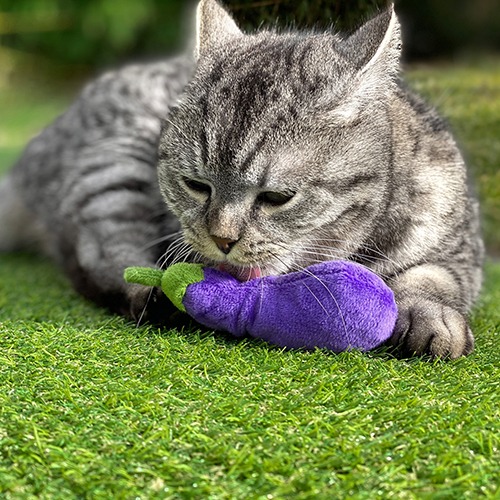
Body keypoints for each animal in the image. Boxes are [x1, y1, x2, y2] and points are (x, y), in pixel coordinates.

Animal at [0, 0, 484, 360]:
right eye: (196, 185)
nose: (222, 239)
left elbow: (434, 277)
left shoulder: (457, 240)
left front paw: (430, 317)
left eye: (277, 197)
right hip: (113, 173)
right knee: (94, 259)